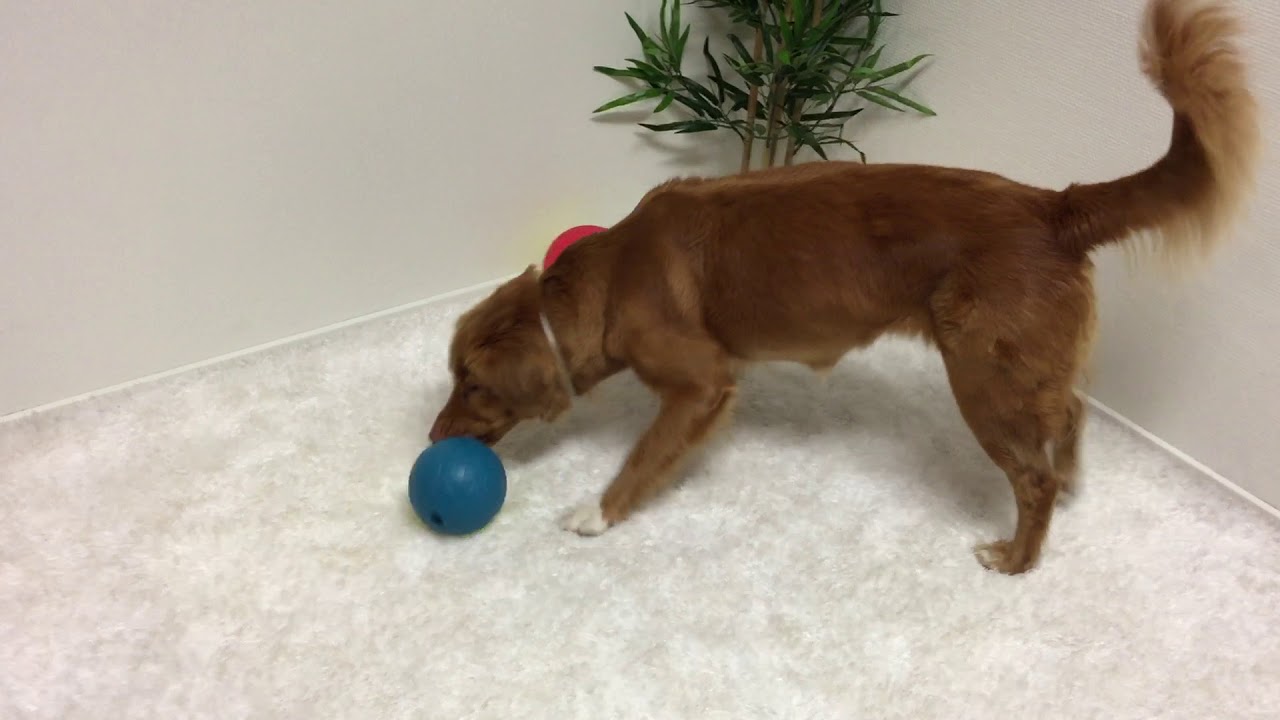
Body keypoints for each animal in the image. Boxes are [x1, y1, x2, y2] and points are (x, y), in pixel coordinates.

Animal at [428, 0, 1259, 574]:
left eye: (473, 387)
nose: (432, 441)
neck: (613, 275)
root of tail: (1054, 206)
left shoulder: (702, 382)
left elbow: (641, 459)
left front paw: (595, 515)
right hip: (1023, 367)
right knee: (1072, 412)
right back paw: (1076, 473)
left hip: (982, 375)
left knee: (1035, 479)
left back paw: (1016, 558)